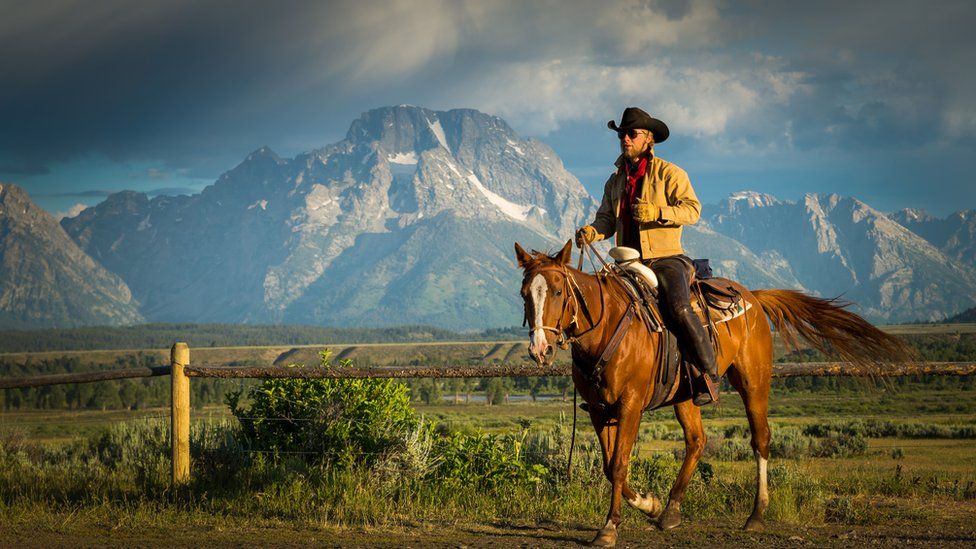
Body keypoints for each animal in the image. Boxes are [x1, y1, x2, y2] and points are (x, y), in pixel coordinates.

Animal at [516, 239, 912, 544]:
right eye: (524, 294)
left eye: (557, 291)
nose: (539, 349)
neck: (607, 327)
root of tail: (753, 298)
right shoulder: (601, 410)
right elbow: (611, 467)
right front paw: (649, 504)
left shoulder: (630, 405)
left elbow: (618, 465)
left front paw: (610, 528)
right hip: (687, 395)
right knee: (697, 441)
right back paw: (671, 510)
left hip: (753, 382)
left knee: (760, 439)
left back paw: (756, 515)